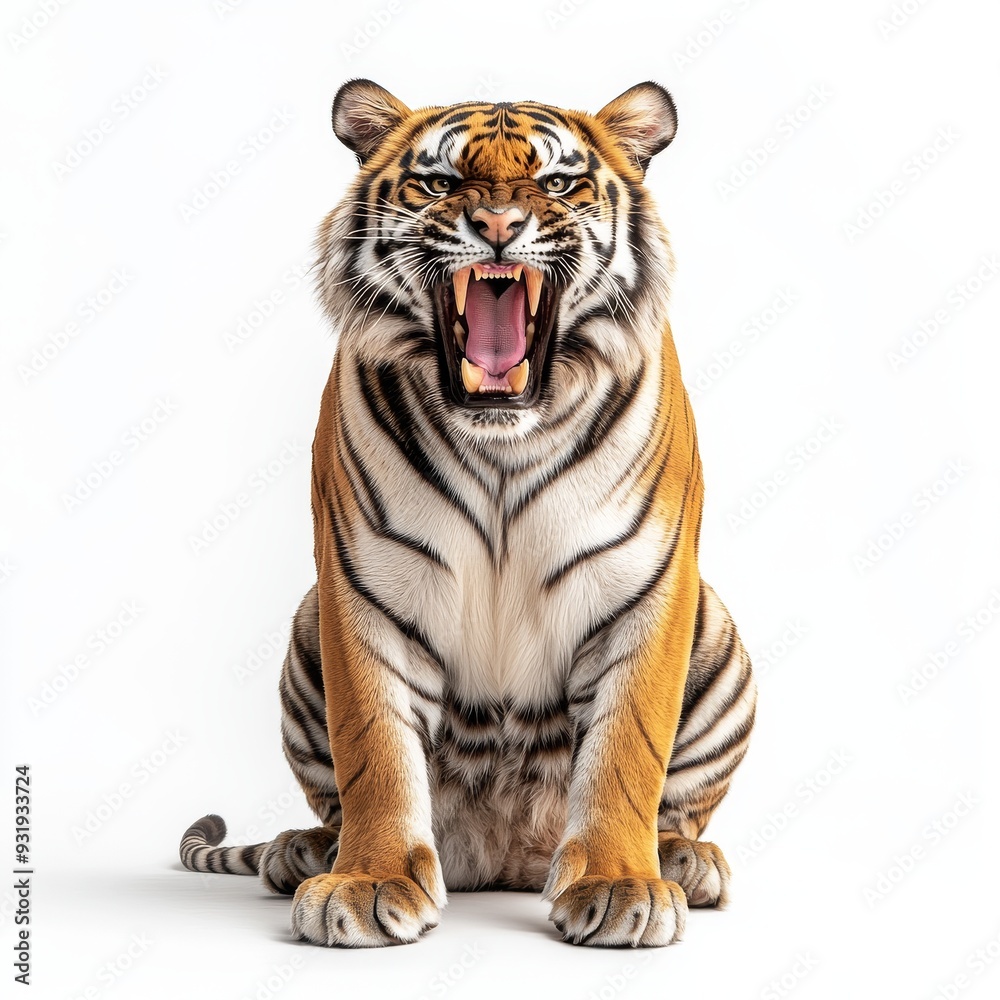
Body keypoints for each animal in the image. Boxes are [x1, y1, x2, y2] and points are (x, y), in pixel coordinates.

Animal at [179, 79, 757, 949]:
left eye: (558, 184)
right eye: (439, 183)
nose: (497, 228)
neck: (504, 445)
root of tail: (507, 859)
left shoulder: (649, 587)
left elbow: (627, 751)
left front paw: (621, 885)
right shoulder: (362, 585)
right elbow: (375, 750)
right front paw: (367, 881)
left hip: (715, 629)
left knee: (678, 806)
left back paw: (682, 861)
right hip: (306, 627)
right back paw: (305, 850)